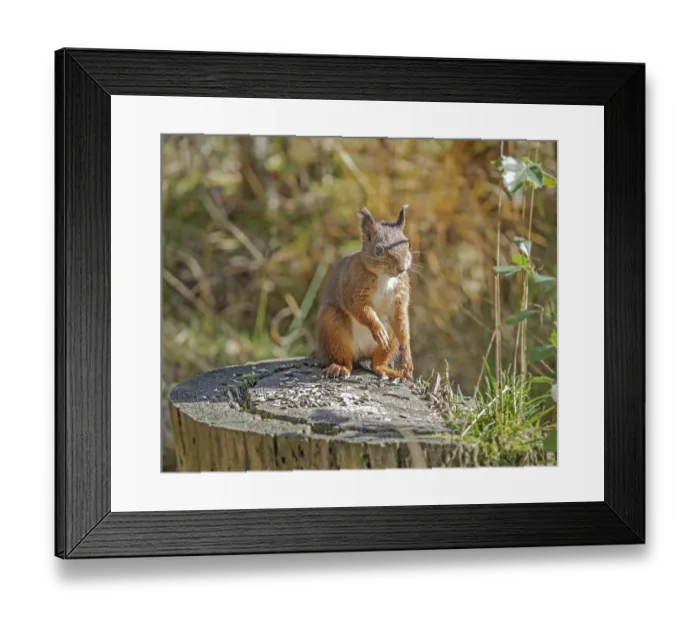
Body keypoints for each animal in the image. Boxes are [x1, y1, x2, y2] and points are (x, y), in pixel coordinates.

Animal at [314, 205, 414, 380]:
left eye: (408, 245)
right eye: (379, 250)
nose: (401, 268)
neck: (385, 277)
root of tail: (361, 354)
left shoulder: (400, 296)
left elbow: (401, 323)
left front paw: (407, 357)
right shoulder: (352, 287)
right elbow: (360, 309)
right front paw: (377, 329)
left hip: (389, 336)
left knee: (377, 362)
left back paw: (388, 371)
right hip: (333, 326)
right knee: (345, 359)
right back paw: (339, 367)